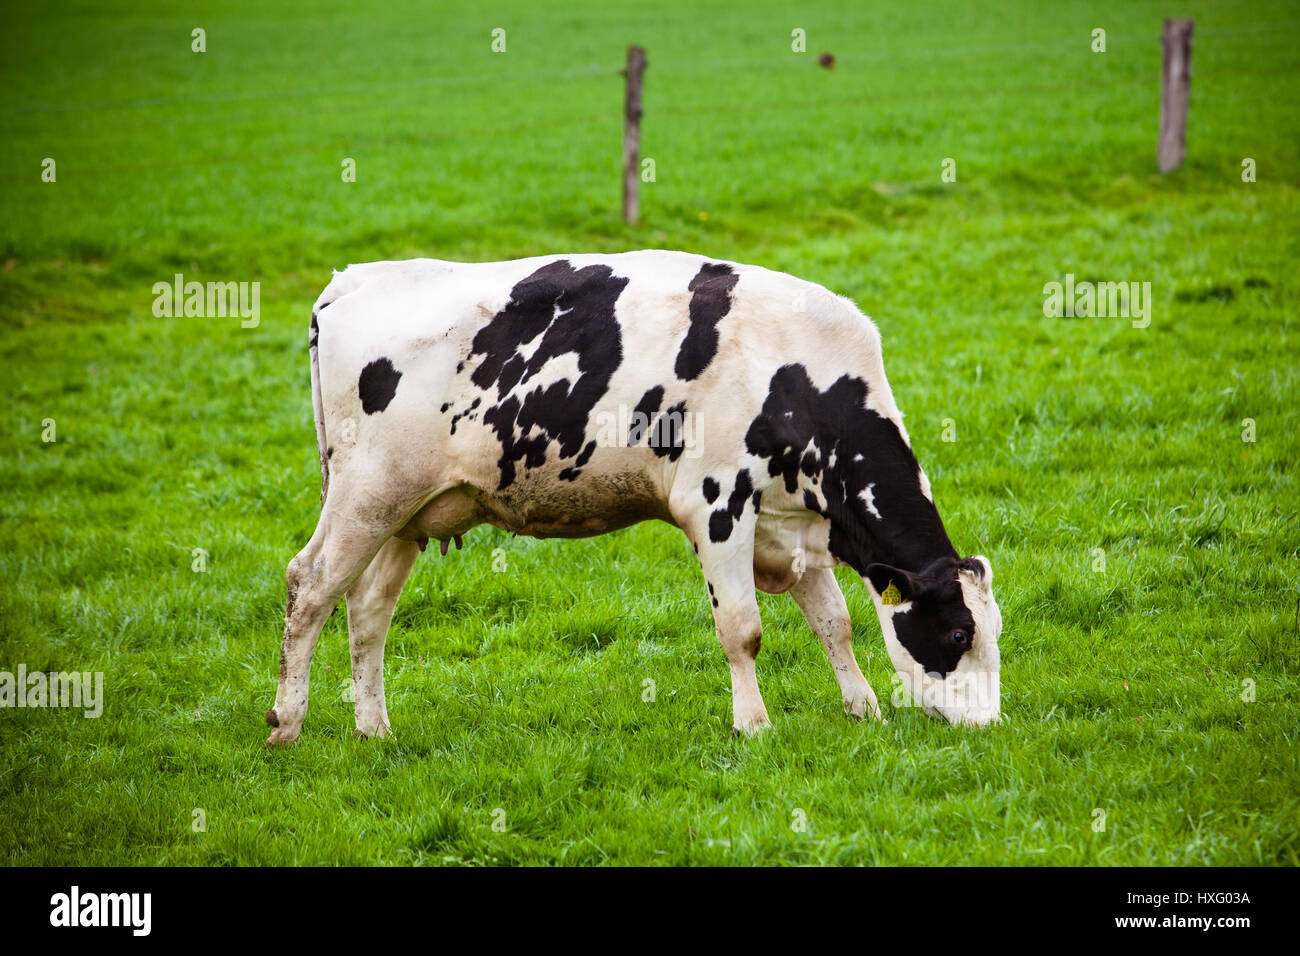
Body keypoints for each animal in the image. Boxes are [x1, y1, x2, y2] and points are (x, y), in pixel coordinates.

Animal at [265, 251, 1003, 745]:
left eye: (995, 631)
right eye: (957, 633)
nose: (989, 726)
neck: (798, 372)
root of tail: (355, 278)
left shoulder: (790, 522)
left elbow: (835, 621)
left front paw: (863, 708)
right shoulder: (717, 505)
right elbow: (743, 629)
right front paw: (754, 726)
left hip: (409, 512)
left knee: (367, 610)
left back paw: (374, 729)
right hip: (367, 492)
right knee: (310, 586)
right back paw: (287, 724)